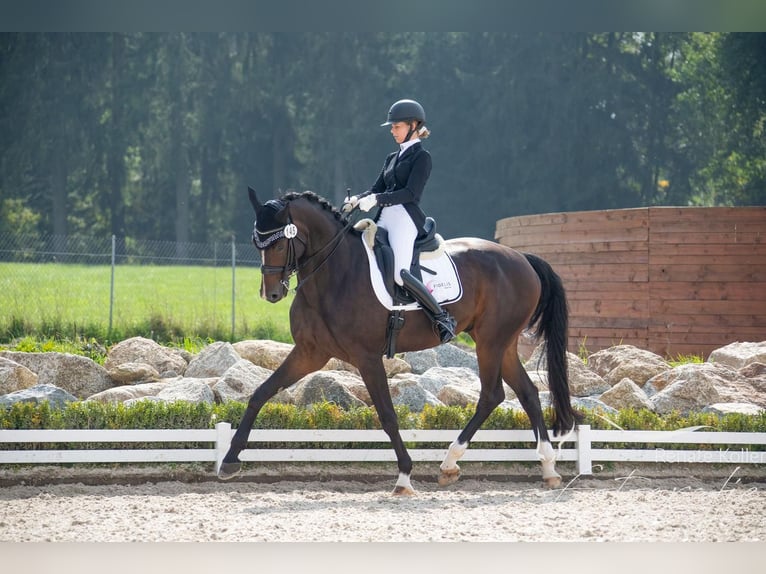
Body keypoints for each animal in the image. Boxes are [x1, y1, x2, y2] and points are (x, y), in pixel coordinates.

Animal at [219, 189, 580, 496]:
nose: (271, 294)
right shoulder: (311, 353)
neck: (334, 274)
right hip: (499, 342)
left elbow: (388, 416)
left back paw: (450, 463)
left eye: (280, 244)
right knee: (527, 393)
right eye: (257, 243)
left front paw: (405, 476)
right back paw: (547, 469)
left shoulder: (366, 357)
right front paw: (229, 461)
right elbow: (260, 393)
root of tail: (521, 258)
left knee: (492, 395)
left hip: (491, 342)